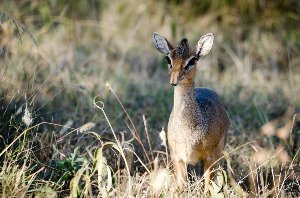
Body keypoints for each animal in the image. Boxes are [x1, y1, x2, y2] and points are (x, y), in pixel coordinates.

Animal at [152, 32, 230, 193]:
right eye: (168, 58)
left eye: (193, 59)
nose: (174, 80)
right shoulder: (178, 158)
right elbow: (181, 187)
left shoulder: (209, 157)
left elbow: (207, 187)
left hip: (219, 153)